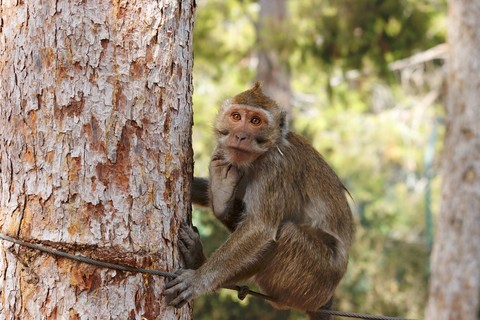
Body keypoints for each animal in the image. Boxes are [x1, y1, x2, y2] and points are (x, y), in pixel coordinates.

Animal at [165, 83, 352, 320]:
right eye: (236, 117)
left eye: (255, 121)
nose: (240, 136)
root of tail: (328, 298)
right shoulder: (226, 154)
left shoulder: (275, 166)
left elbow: (260, 227)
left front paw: (198, 280)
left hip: (315, 281)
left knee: (287, 232)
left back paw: (198, 263)